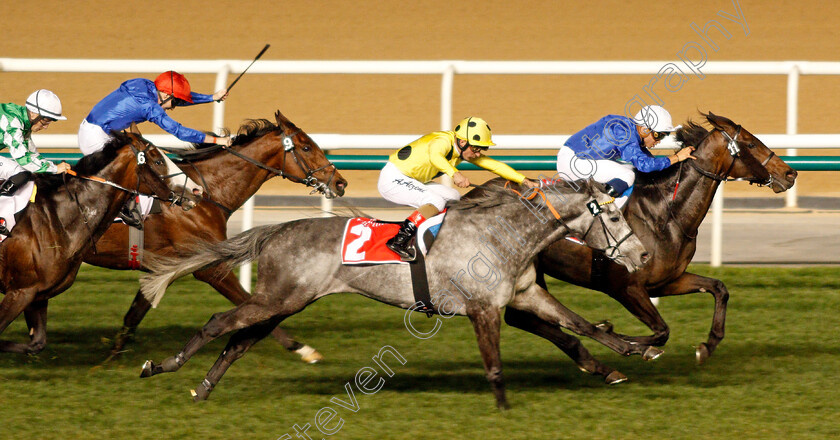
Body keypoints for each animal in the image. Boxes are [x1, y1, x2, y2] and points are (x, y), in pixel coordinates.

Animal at [0, 133, 191, 354]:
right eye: (159, 161)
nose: (194, 192)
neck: (59, 217)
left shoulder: (36, 295)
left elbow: (36, 343)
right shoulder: (21, 291)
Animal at [83, 110, 348, 360]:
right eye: (306, 147)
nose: (340, 183)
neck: (205, 194)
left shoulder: (162, 266)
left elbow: (134, 314)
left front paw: (112, 358)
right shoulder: (209, 267)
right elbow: (250, 304)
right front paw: (302, 349)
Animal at [136, 179, 648, 410]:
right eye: (614, 217)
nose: (642, 255)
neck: (502, 234)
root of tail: (278, 229)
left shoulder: (523, 295)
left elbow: (581, 326)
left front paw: (632, 351)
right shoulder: (483, 308)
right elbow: (494, 361)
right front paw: (503, 408)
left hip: (285, 302)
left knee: (238, 343)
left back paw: (203, 388)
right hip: (277, 299)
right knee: (217, 325)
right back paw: (162, 365)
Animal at [520, 111, 796, 370]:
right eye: (751, 144)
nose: (790, 173)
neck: (666, 215)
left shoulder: (665, 281)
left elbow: (718, 288)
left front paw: (707, 346)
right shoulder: (625, 288)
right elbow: (662, 331)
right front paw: (615, 332)